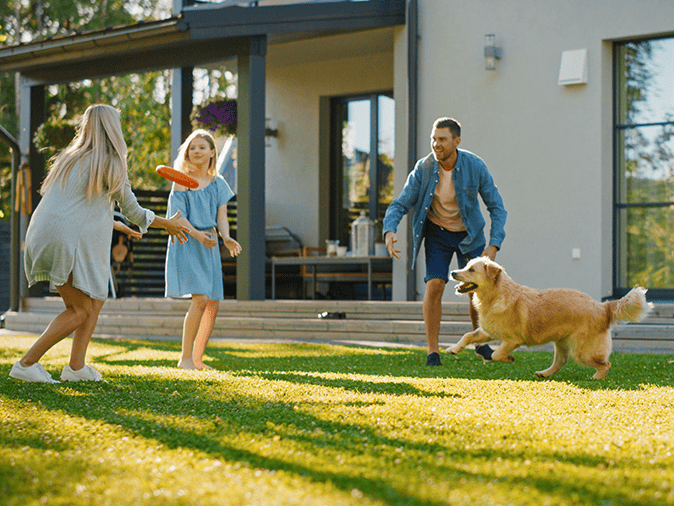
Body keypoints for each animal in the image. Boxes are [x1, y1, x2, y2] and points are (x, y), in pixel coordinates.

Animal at [448, 256, 648, 380]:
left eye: (471, 270)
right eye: (466, 266)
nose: (452, 273)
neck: (496, 294)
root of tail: (602, 306)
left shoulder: (513, 340)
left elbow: (496, 353)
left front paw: (508, 358)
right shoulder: (488, 331)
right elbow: (468, 336)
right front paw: (453, 349)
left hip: (582, 351)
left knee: (605, 364)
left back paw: (596, 378)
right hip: (561, 342)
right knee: (560, 361)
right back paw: (545, 373)